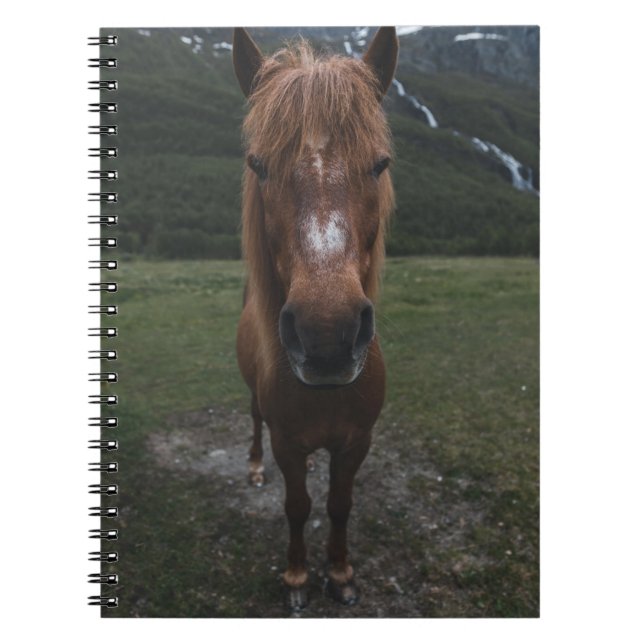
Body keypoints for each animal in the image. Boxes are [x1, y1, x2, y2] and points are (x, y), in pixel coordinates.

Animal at [233, 27, 398, 611]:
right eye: (259, 165)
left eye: (380, 163)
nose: (327, 335)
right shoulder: (288, 442)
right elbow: (298, 506)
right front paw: (298, 577)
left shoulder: (356, 442)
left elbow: (340, 505)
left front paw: (342, 573)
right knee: (253, 420)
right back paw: (253, 467)